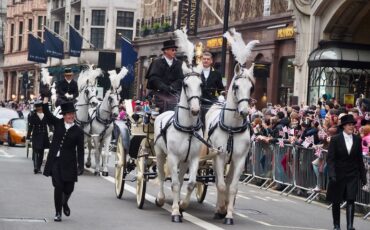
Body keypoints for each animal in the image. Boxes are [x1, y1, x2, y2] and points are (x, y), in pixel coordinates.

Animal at [155, 63, 204, 223]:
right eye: (186, 84)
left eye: (201, 84)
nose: (195, 110)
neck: (188, 128)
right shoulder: (172, 157)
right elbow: (175, 184)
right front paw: (175, 212)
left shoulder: (193, 158)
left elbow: (191, 184)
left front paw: (182, 205)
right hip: (160, 154)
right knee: (161, 175)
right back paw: (160, 198)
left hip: (184, 161)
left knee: (182, 180)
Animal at [207, 28, 258, 225]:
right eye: (235, 86)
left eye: (251, 88)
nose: (244, 111)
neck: (231, 128)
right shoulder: (219, 156)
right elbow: (220, 185)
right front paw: (220, 209)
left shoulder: (239, 159)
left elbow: (233, 187)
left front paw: (228, 214)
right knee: (219, 181)